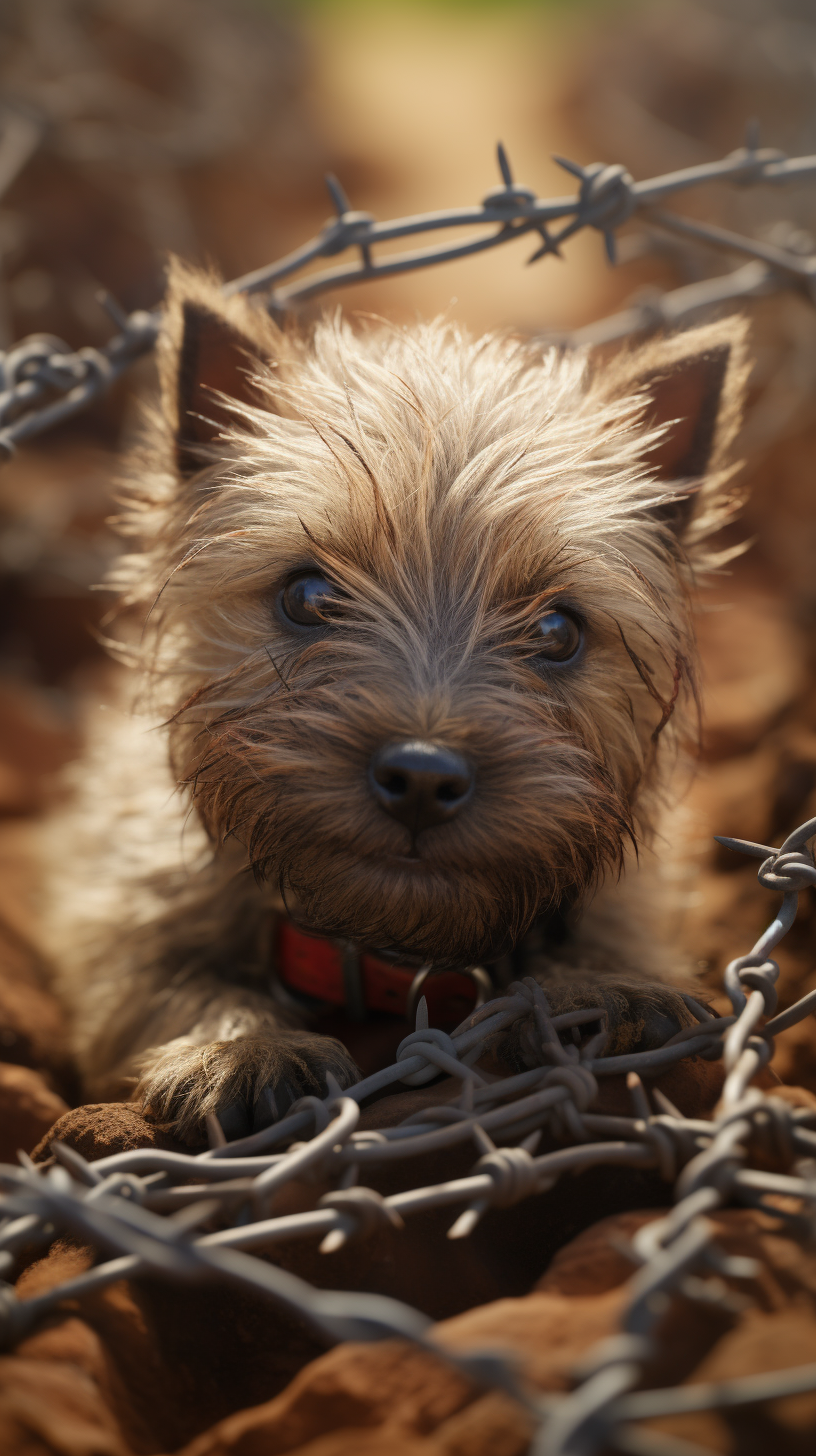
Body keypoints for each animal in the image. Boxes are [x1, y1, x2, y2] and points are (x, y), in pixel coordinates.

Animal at [51, 264, 751, 1147]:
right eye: (308, 596)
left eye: (557, 630)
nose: (422, 777)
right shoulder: (114, 913)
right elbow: (160, 980)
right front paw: (238, 1048)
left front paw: (602, 985)